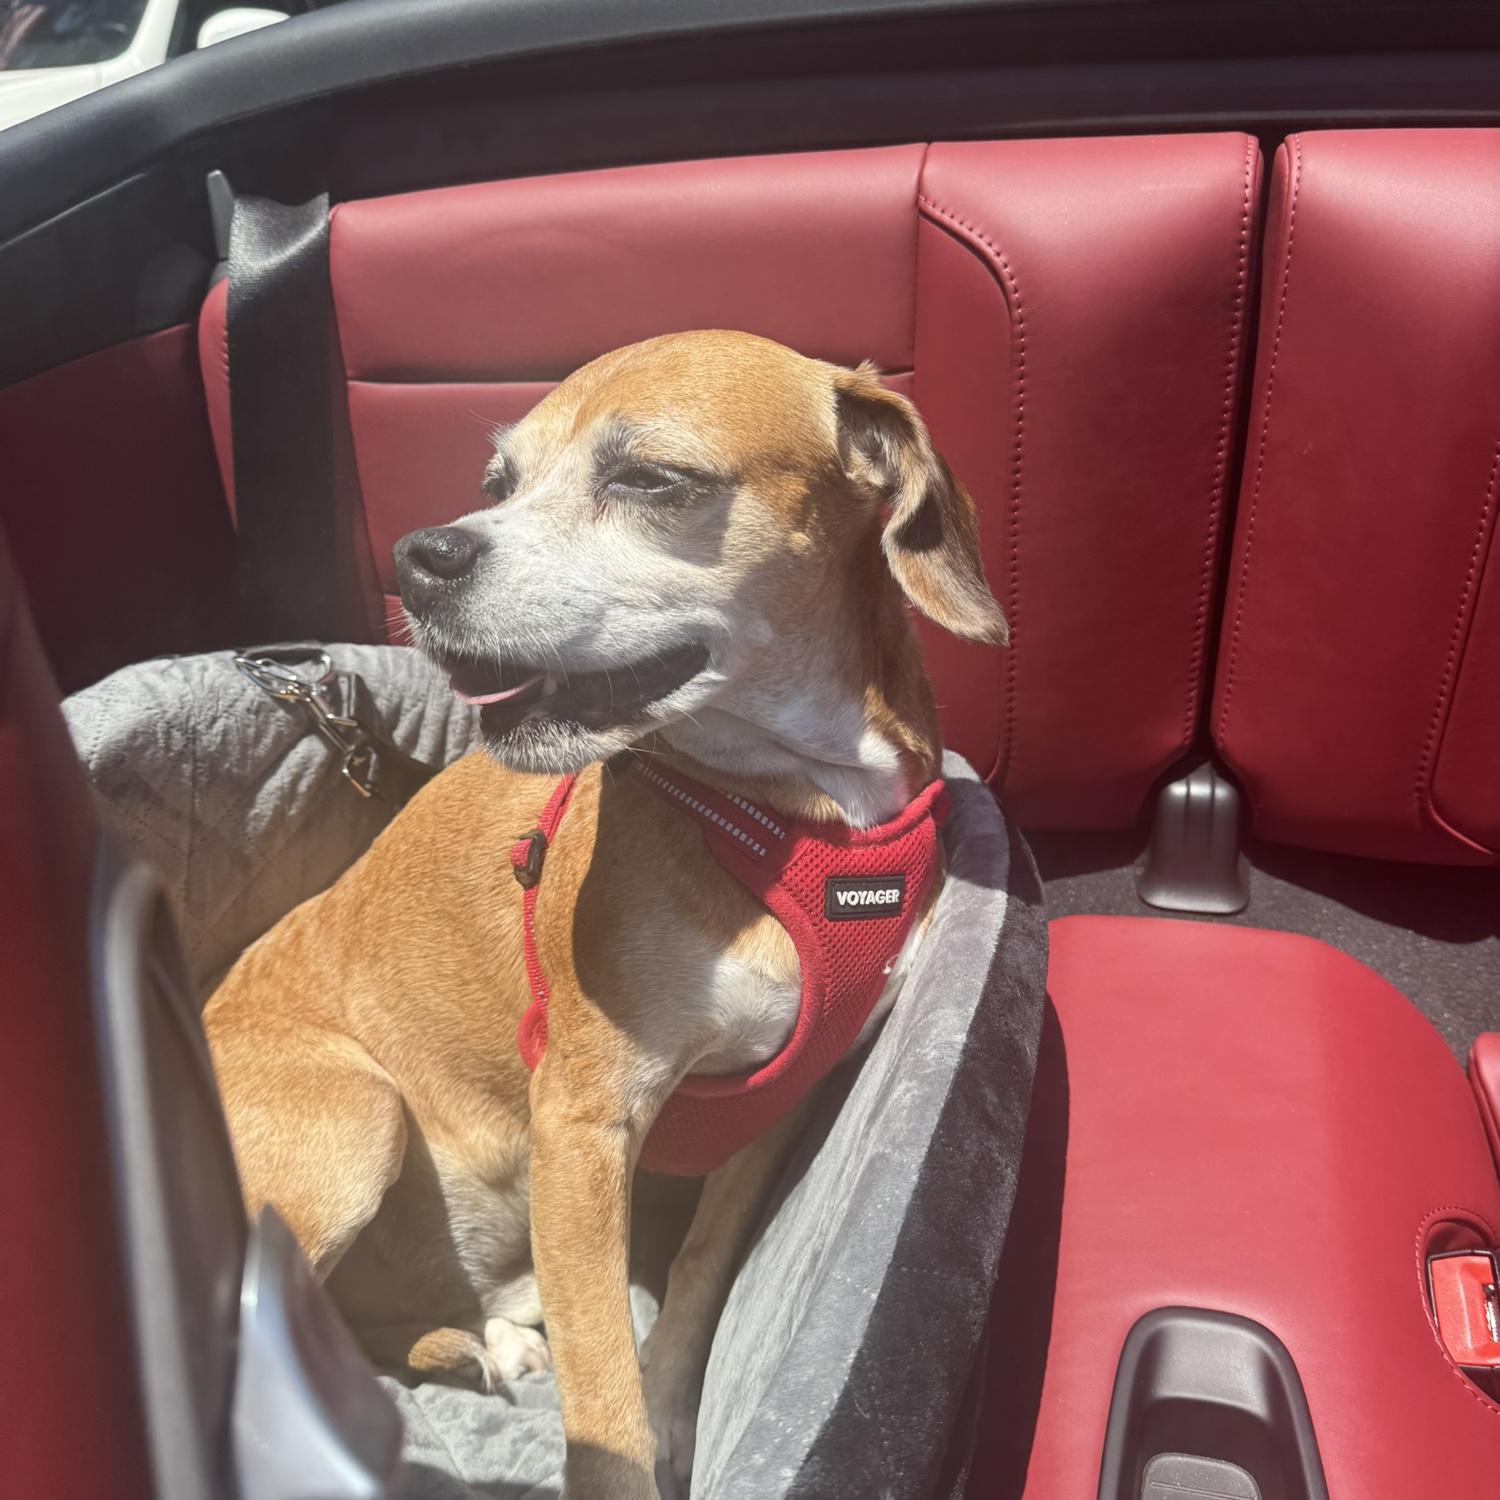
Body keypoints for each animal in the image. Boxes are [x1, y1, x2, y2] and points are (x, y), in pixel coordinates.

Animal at [203, 329, 1007, 1499]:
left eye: (652, 480)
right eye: (498, 482)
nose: (420, 556)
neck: (794, 821)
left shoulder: (775, 1102)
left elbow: (698, 1272)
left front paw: (671, 1408)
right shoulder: (584, 1128)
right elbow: (601, 1402)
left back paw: (478, 1338)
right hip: (356, 1118)